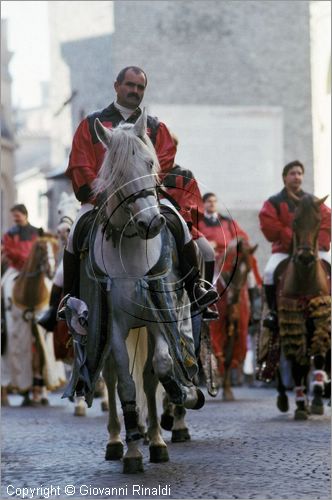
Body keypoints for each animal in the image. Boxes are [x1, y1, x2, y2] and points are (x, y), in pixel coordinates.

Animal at [66, 109, 204, 472]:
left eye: (149, 162)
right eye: (117, 171)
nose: (151, 223)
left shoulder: (159, 317)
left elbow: (160, 367)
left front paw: (175, 402)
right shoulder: (112, 324)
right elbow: (127, 385)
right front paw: (132, 451)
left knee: (149, 375)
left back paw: (156, 434)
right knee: (113, 377)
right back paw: (118, 440)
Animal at [262, 193, 330, 420]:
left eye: (318, 221)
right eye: (295, 221)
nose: (306, 256)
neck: (306, 278)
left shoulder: (320, 319)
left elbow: (319, 358)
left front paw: (316, 398)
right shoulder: (292, 318)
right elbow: (297, 365)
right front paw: (301, 404)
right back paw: (285, 397)